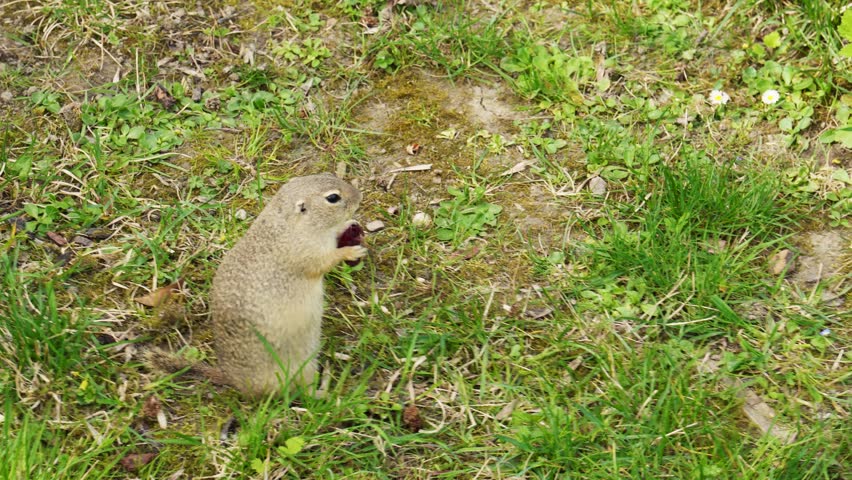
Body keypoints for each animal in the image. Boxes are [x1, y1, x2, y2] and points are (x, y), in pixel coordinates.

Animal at [146, 174, 367, 396]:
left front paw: (350, 224)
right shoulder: (304, 253)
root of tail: (234, 380)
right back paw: (327, 387)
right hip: (301, 366)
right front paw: (350, 252)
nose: (359, 196)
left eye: (330, 175)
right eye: (333, 198)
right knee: (306, 393)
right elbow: (323, 262)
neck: (291, 224)